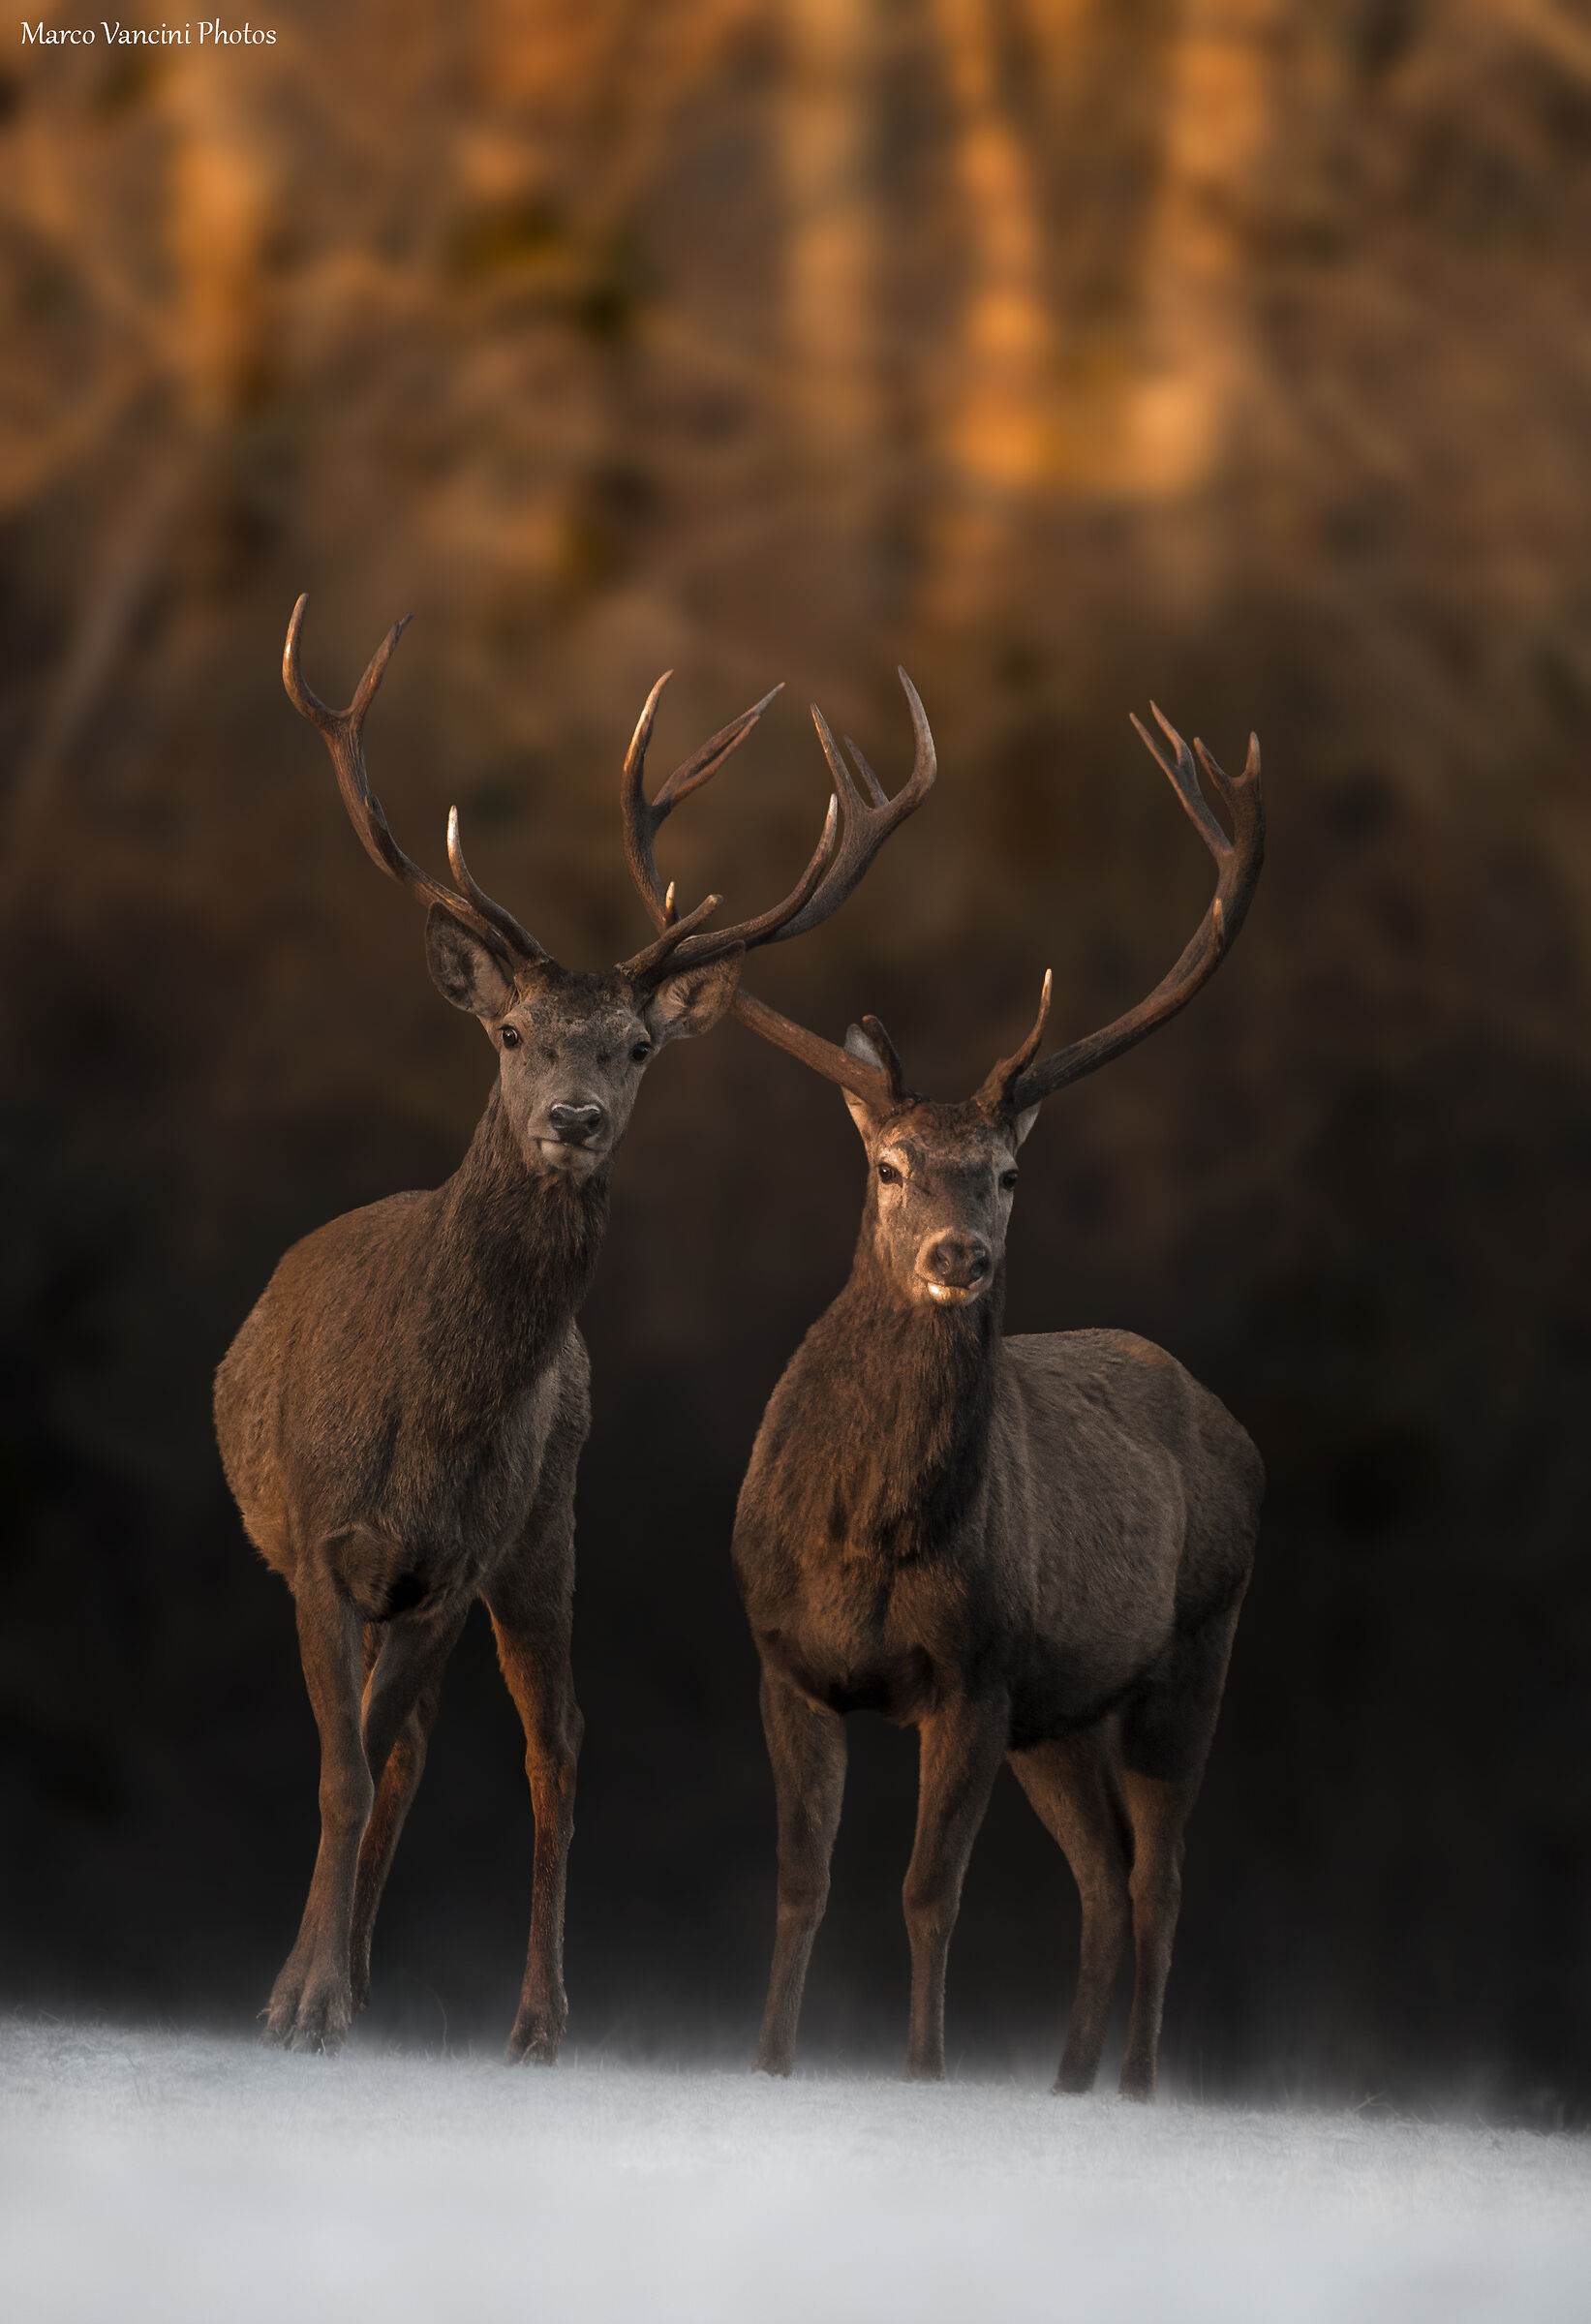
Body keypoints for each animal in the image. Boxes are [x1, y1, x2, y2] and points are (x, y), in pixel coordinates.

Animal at [213, 596, 935, 2059]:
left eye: (634, 1048)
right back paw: (366, 1973)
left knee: (553, 1743)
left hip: (545, 1527)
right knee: (405, 1749)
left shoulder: (458, 1549)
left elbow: (364, 1765)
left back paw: (535, 2017)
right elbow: (341, 1768)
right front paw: (304, 1999)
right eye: (509, 1032)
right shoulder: (319, 1539)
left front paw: (310, 1997)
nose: (572, 1118)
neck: (419, 1415)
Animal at [707, 703, 1264, 2101]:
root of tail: (1229, 1422)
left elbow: (926, 1890)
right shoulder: (786, 1660)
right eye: (889, 1164)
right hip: (1058, 1713)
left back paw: (1133, 2087)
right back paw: (1066, 2085)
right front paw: (768, 2065)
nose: (955, 1254)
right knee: (1104, 1880)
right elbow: (799, 1882)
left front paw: (924, 2075)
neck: (862, 1535)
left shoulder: (972, 1666)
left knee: (1159, 1874)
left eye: (1005, 1172)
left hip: (1191, 1647)